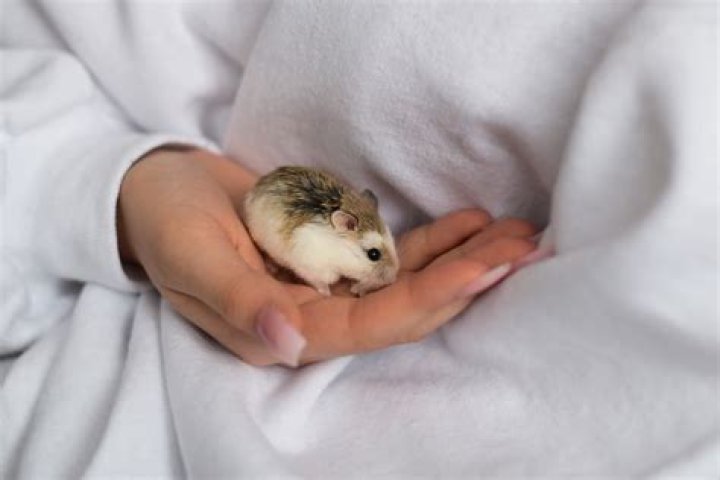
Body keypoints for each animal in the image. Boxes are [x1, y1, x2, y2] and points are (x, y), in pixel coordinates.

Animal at [243, 166, 399, 296]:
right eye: (373, 254)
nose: (393, 277)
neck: (339, 251)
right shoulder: (313, 268)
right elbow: (320, 283)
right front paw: (327, 294)